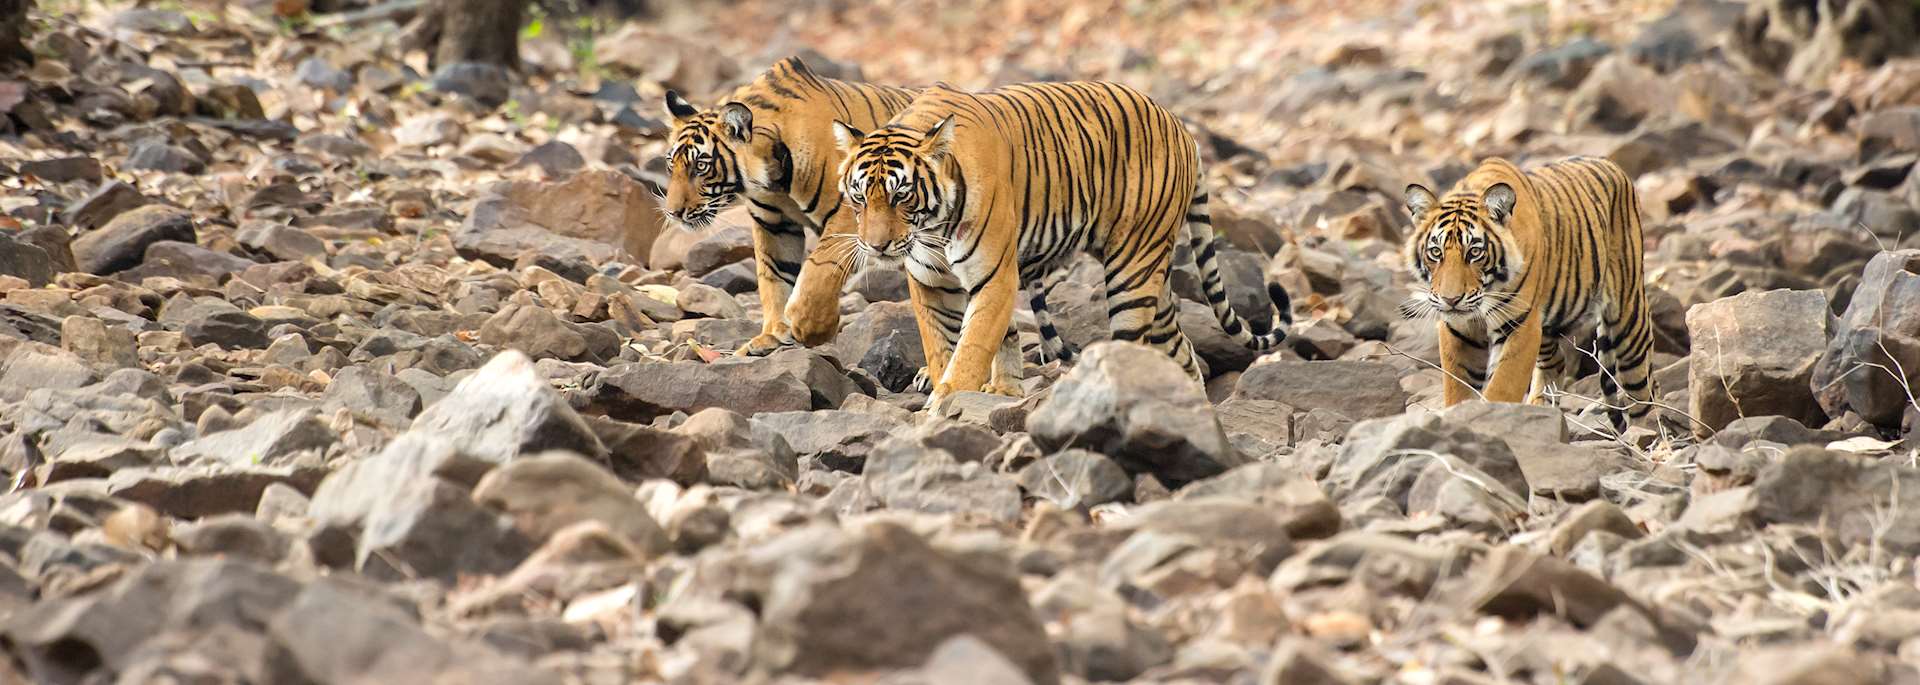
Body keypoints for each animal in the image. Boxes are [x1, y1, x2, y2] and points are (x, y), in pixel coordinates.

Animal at [663, 57, 1080, 370]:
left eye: (701, 166)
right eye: (671, 165)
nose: (673, 212)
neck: (770, 180)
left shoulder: (849, 214)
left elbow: (818, 270)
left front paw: (811, 328)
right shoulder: (773, 224)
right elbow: (774, 279)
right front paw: (771, 335)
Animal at [814, 81, 1293, 407]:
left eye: (901, 195)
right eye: (859, 197)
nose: (876, 247)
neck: (933, 224)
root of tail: (1181, 126)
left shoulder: (995, 277)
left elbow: (971, 347)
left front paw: (945, 405)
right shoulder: (930, 281)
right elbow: (945, 347)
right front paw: (976, 391)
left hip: (1132, 269)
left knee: (1132, 346)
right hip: (1153, 279)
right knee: (1182, 350)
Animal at [1400, 156, 1655, 432]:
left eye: (1475, 252)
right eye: (1435, 252)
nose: (1451, 300)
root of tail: (1611, 164)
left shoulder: (1520, 326)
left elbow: (1502, 386)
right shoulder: (1458, 330)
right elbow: (1457, 389)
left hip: (1628, 320)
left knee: (1643, 393)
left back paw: (1643, 435)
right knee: (1556, 362)